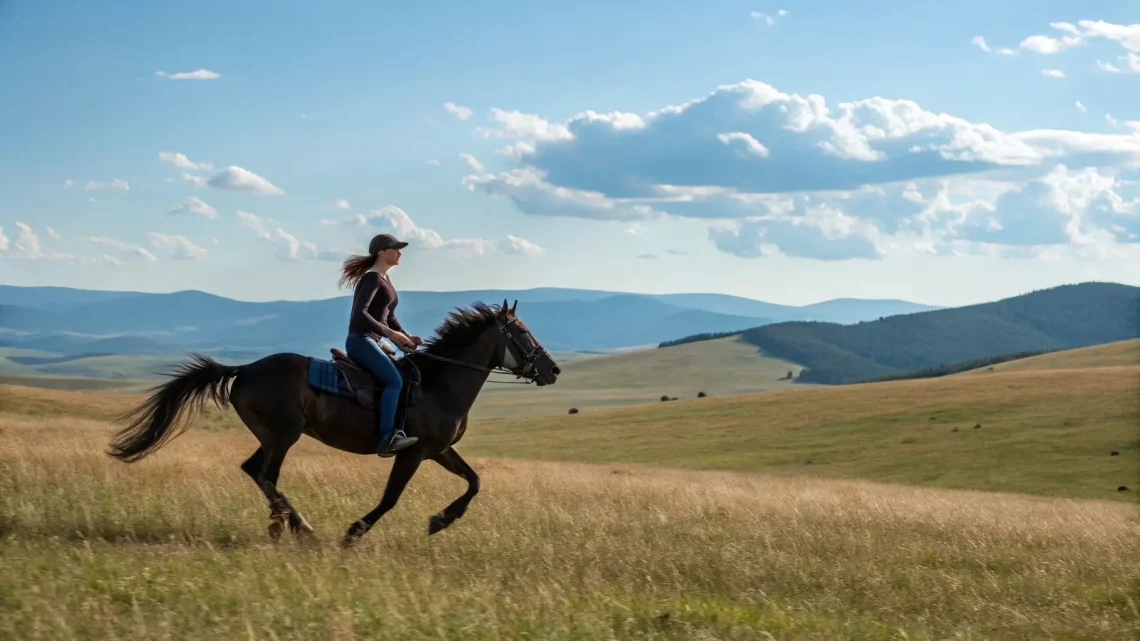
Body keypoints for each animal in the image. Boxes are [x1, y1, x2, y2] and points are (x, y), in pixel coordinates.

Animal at [104, 296, 558, 540]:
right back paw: (299, 527)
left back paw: (285, 525)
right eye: (523, 334)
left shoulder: (439, 450)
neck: (438, 385)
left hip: (272, 436)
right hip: (283, 436)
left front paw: (440, 521)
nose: (552, 370)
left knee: (254, 471)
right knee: (267, 476)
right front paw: (352, 533)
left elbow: (475, 481)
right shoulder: (410, 453)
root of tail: (245, 369)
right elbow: (390, 499)